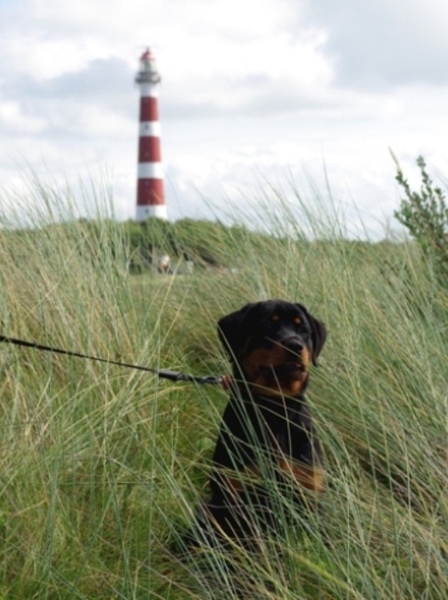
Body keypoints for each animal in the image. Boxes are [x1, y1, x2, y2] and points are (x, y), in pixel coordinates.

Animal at [184, 298, 328, 548]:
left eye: (303, 329)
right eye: (268, 325)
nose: (294, 345)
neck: (275, 410)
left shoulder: (308, 488)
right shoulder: (238, 494)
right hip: (208, 508)